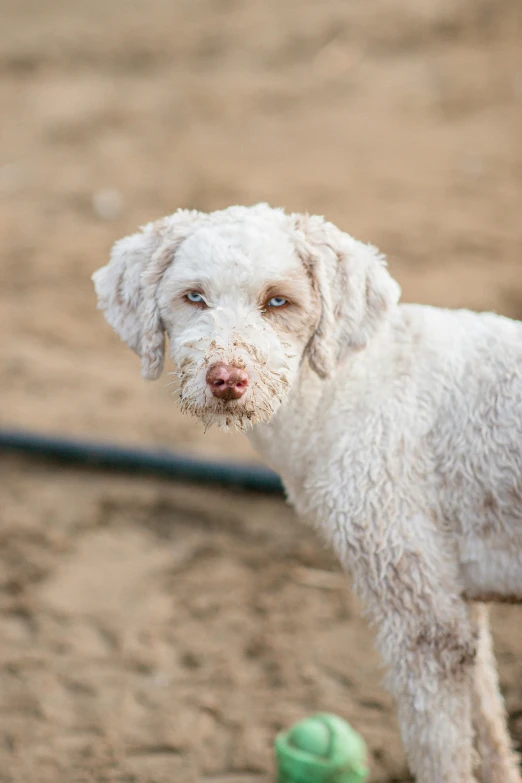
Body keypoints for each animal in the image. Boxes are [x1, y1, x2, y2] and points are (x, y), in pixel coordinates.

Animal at [93, 204, 520, 783]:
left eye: (279, 301)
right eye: (194, 296)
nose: (227, 379)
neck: (340, 383)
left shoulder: (421, 618)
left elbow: (443, 754)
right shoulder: (459, 598)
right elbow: (490, 729)